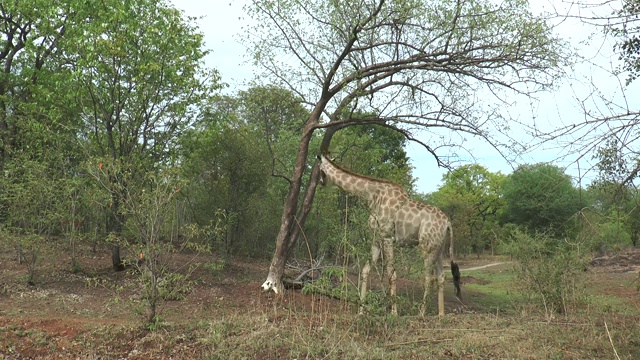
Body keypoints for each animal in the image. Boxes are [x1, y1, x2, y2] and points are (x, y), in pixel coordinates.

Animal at [316, 153, 460, 316]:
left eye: (319, 168)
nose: (320, 182)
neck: (371, 196)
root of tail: (447, 223)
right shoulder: (376, 239)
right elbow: (366, 270)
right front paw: (361, 311)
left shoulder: (387, 237)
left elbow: (391, 273)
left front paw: (394, 312)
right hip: (439, 248)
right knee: (441, 276)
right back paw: (441, 314)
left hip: (427, 246)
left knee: (429, 277)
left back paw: (421, 313)